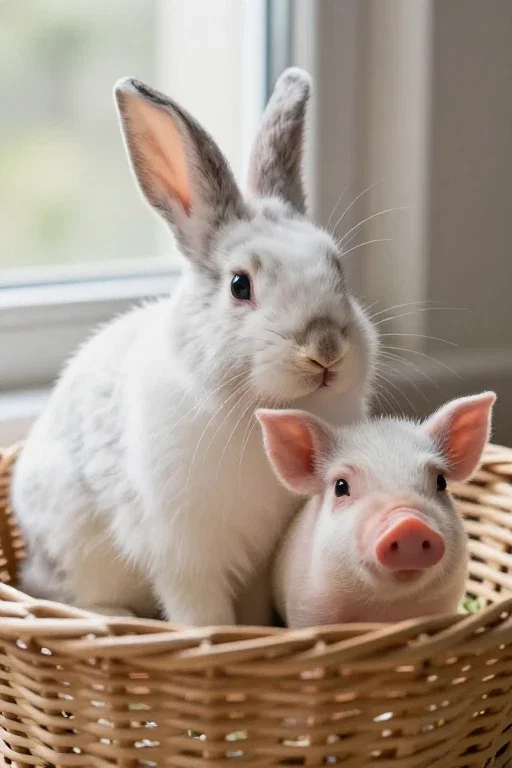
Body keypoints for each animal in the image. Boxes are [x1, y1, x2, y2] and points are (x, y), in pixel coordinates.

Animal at [11, 68, 377, 626]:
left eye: (337, 266)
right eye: (240, 285)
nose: (325, 349)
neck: (262, 411)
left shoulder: (259, 562)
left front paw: (256, 634)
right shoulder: (184, 557)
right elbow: (199, 611)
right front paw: (214, 634)